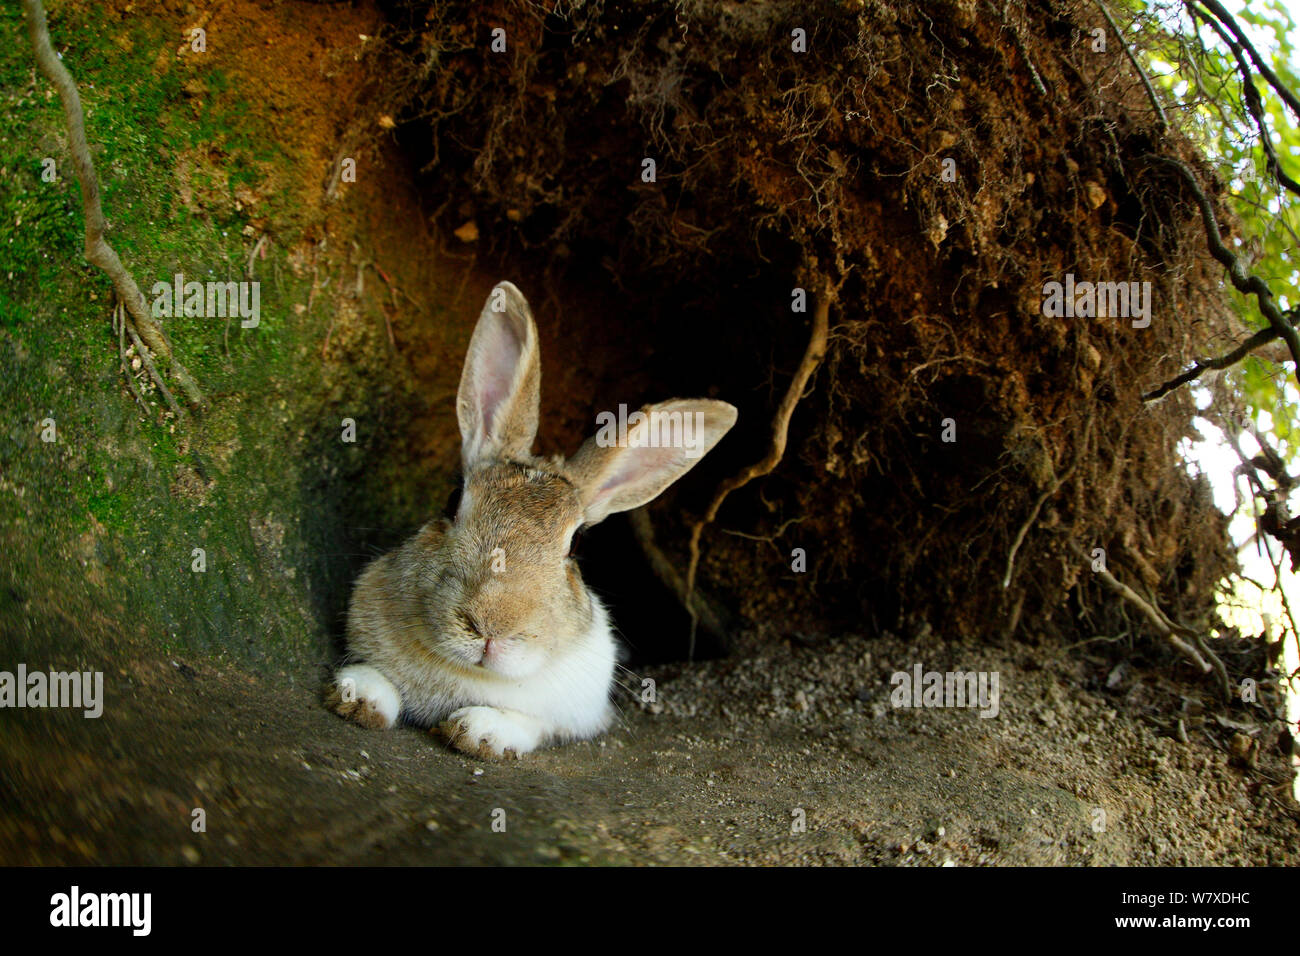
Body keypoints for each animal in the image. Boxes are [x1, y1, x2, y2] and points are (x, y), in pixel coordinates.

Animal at [325, 280, 738, 759]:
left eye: (576, 544)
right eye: (452, 499)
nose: (490, 626)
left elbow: (531, 725)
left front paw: (479, 732)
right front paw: (361, 696)